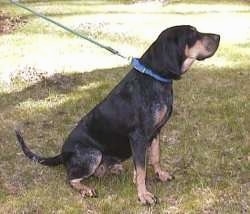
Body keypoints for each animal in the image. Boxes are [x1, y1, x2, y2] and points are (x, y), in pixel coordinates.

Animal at [15, 25, 219, 206]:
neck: (154, 77)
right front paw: (144, 195)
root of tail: (62, 154)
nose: (218, 36)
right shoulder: (138, 136)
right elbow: (142, 169)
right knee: (70, 178)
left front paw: (160, 175)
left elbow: (154, 158)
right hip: (93, 154)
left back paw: (114, 168)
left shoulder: (156, 132)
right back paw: (85, 189)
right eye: (192, 33)